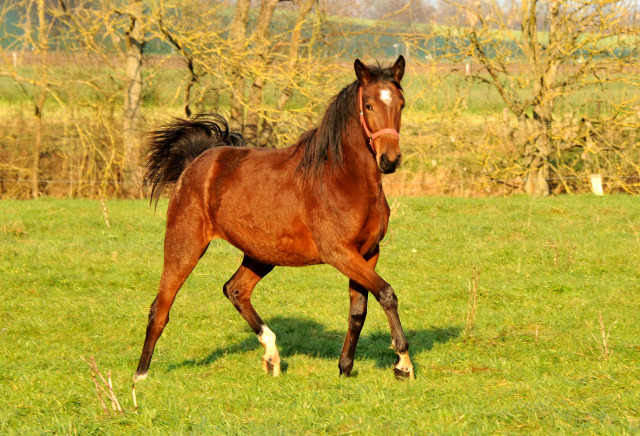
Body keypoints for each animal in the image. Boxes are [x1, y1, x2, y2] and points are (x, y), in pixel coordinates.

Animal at [135, 54, 416, 382]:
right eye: (369, 105)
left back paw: (272, 357)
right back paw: (139, 377)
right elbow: (386, 293)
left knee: (235, 290)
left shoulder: (368, 253)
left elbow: (359, 311)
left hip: (260, 254)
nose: (390, 160)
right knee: (160, 308)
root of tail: (195, 163)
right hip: (185, 246)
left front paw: (345, 368)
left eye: (401, 104)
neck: (343, 179)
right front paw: (403, 364)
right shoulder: (339, 253)